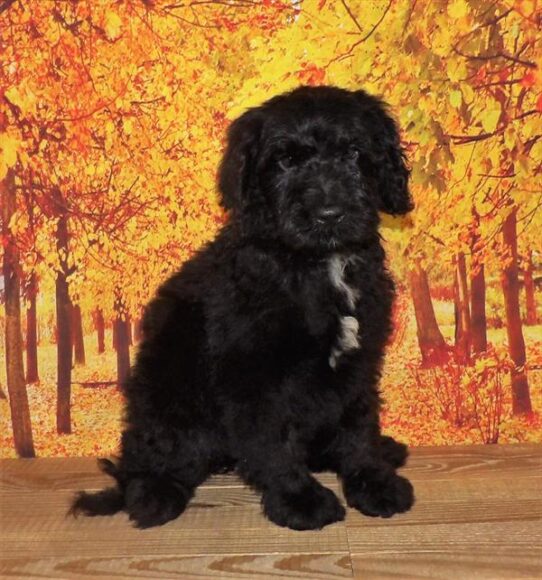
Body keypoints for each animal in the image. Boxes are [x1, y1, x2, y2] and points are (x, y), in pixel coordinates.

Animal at [73, 85, 416, 532]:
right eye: (286, 160)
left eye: (354, 153)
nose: (329, 214)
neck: (315, 262)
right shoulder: (252, 372)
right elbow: (274, 441)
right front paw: (298, 499)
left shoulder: (360, 359)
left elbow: (359, 423)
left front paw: (372, 480)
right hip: (167, 392)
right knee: (152, 456)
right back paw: (155, 494)